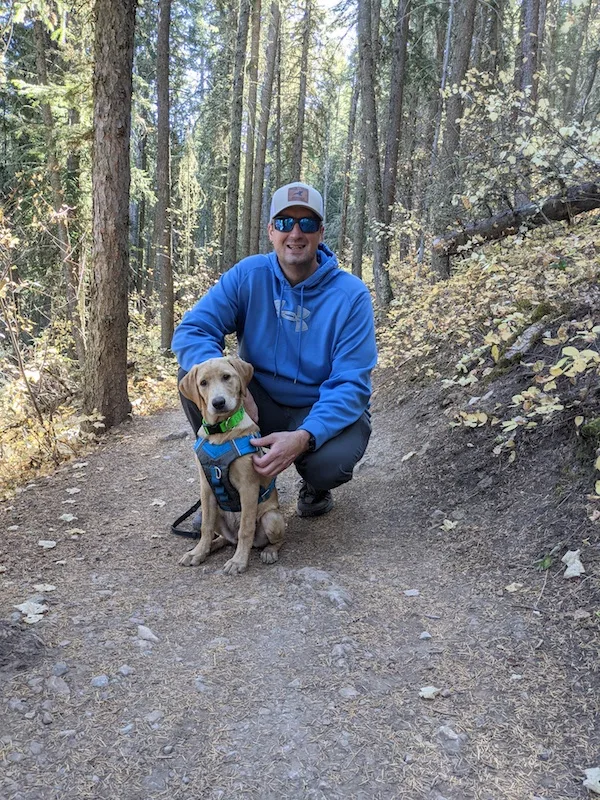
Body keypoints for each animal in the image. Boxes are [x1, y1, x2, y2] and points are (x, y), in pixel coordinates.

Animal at [177, 356, 284, 576]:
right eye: (203, 383)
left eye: (227, 377)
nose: (218, 403)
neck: (221, 432)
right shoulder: (206, 487)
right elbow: (206, 527)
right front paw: (198, 552)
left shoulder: (248, 486)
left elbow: (246, 529)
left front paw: (238, 561)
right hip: (216, 511)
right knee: (223, 537)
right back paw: (210, 547)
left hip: (272, 518)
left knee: (270, 539)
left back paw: (269, 551)